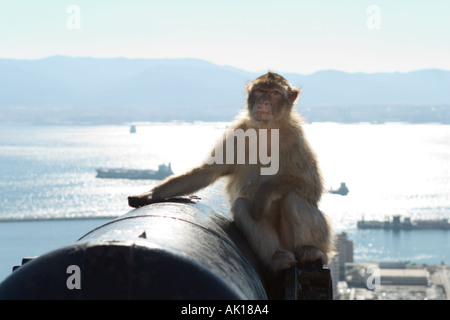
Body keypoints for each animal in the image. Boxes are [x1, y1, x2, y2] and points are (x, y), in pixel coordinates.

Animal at [127, 72, 334, 280]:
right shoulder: (238, 133)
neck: (267, 129)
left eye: (274, 93)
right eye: (260, 91)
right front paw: (150, 194)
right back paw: (276, 261)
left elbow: (312, 187)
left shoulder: (295, 138)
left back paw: (313, 252)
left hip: (322, 235)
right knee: (243, 205)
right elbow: (207, 171)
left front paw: (263, 194)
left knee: (293, 198)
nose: (264, 102)